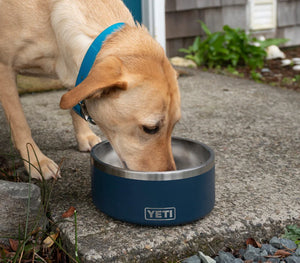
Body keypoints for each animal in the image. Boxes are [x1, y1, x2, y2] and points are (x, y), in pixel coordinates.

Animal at [0, 0, 180, 180]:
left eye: (174, 125)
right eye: (151, 129)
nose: (169, 175)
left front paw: (84, 136)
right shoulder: (5, 69)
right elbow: (20, 124)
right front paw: (37, 161)